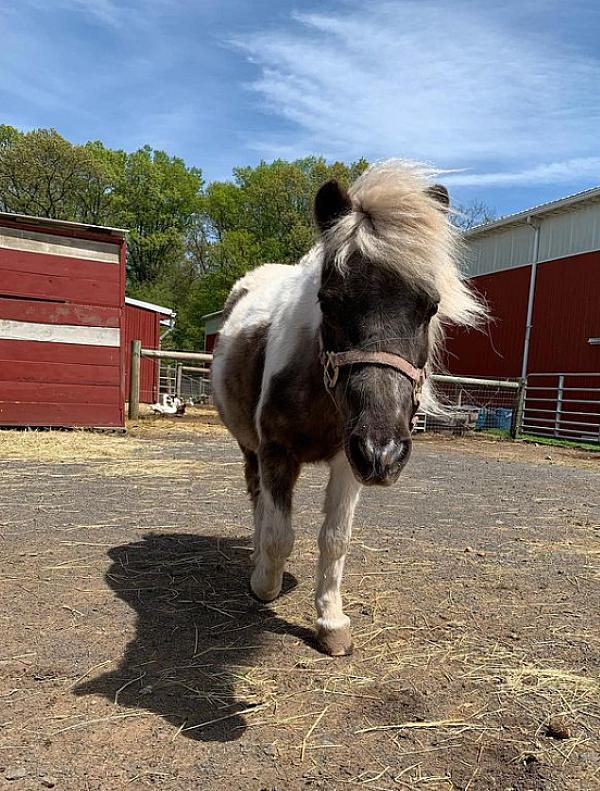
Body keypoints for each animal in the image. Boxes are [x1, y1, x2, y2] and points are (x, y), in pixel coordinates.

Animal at [211, 161, 484, 656]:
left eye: (430, 306)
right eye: (329, 301)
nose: (385, 453)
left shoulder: (348, 458)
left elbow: (335, 539)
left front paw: (331, 622)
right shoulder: (276, 452)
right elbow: (279, 535)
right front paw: (264, 585)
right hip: (249, 447)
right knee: (258, 502)